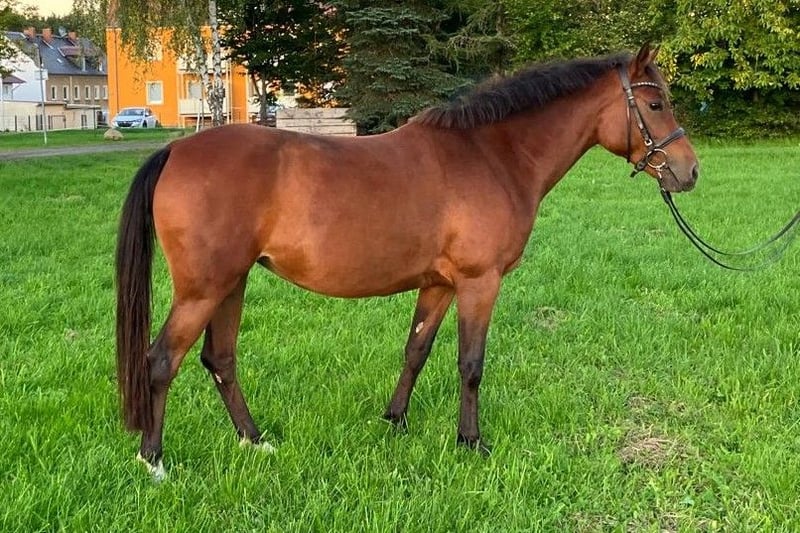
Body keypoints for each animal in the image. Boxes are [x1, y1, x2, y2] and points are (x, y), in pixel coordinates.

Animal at [116, 44, 699, 479]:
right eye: (655, 106)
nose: (689, 171)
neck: (492, 156)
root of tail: (176, 151)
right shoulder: (479, 283)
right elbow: (470, 364)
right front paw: (471, 442)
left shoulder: (439, 285)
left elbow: (416, 350)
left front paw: (395, 421)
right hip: (203, 289)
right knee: (162, 361)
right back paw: (154, 462)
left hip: (231, 283)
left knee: (220, 359)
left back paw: (255, 442)